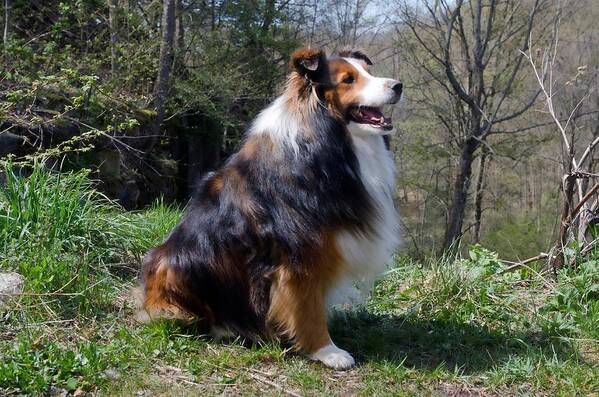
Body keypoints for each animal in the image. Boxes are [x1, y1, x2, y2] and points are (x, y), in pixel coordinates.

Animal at [141, 48, 404, 370]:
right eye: (348, 79)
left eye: (369, 71)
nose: (398, 86)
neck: (329, 142)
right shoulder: (299, 255)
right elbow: (306, 306)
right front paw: (326, 350)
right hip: (179, 266)